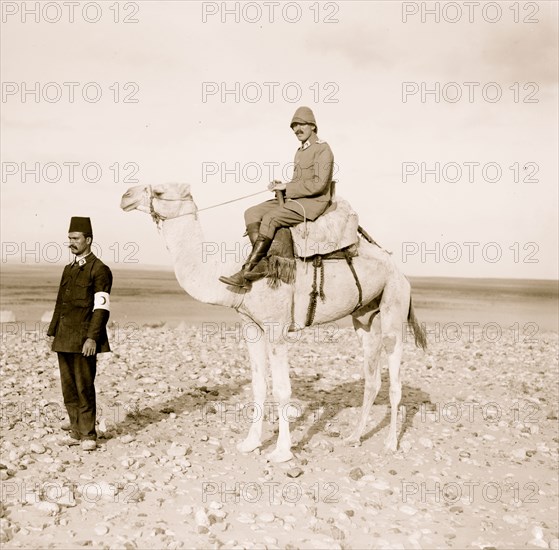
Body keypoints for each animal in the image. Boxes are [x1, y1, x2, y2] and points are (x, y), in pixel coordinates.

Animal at [121, 183, 428, 464]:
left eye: (159, 192)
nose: (125, 195)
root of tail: (400, 270)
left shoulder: (276, 328)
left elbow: (282, 389)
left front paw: (282, 451)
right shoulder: (251, 325)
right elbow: (259, 384)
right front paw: (250, 443)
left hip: (394, 303)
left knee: (394, 379)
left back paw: (390, 444)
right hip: (364, 316)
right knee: (372, 379)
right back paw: (354, 436)